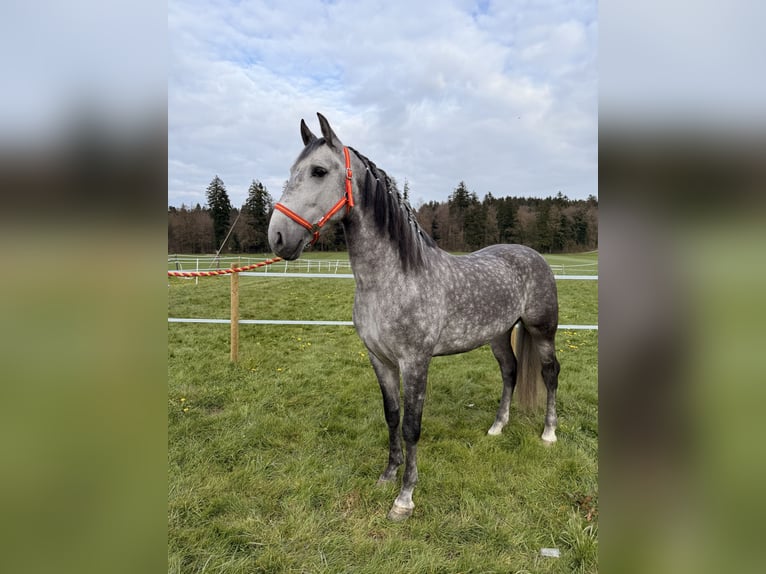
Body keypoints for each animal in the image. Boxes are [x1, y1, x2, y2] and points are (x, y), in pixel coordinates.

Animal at [268, 113, 560, 521]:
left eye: (319, 171)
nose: (278, 237)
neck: (395, 277)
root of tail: (531, 255)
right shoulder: (380, 359)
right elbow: (391, 416)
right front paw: (387, 476)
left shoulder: (415, 362)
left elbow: (411, 426)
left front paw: (404, 498)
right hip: (499, 335)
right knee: (510, 371)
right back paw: (497, 427)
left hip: (542, 330)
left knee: (550, 373)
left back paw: (549, 433)